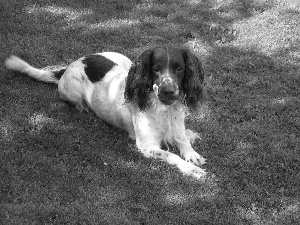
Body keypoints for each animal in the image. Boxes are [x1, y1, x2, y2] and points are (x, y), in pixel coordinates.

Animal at [4, 46, 206, 179]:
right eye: (155, 69)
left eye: (179, 69)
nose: (168, 91)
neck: (164, 109)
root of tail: (70, 65)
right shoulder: (146, 146)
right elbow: (172, 155)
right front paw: (191, 169)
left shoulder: (177, 125)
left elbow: (184, 142)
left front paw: (193, 153)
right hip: (72, 91)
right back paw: (84, 107)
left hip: (124, 59)